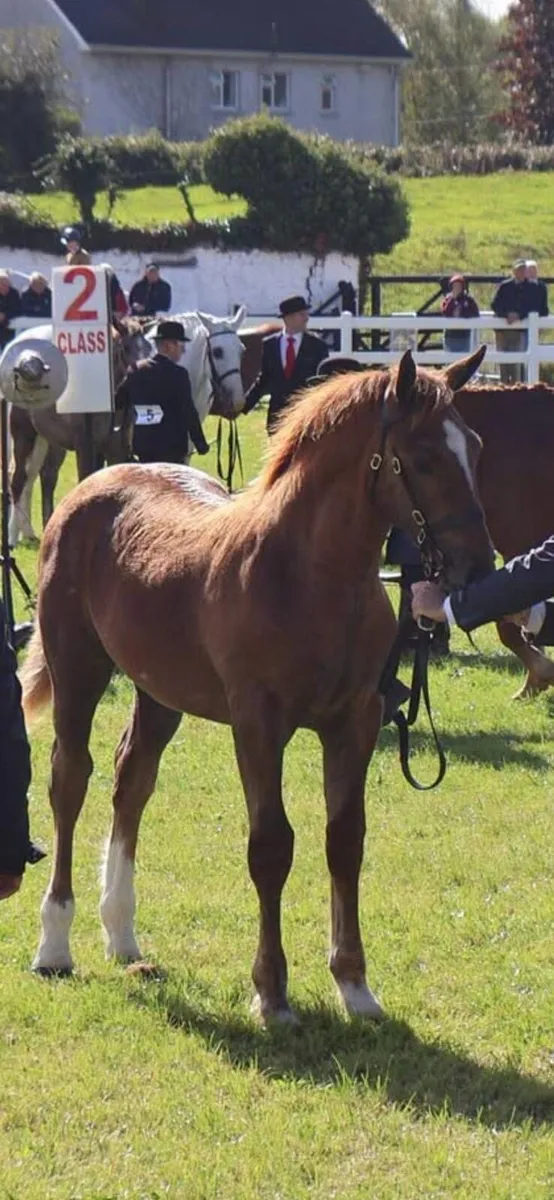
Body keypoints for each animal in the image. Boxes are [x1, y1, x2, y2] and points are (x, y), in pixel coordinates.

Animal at [8, 308, 247, 543]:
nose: (236, 401)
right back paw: (16, 536)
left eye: (242, 350)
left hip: (50, 440)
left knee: (43, 477)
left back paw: (32, 530)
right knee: (20, 479)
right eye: (218, 351)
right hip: (25, 434)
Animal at [21, 345, 494, 1023]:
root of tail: (91, 486)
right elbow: (271, 845)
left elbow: (344, 840)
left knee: (131, 780)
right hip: (78, 668)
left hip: (160, 692)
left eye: (475, 448)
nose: (477, 569)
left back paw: (122, 935)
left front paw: (355, 986)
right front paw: (271, 993)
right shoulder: (259, 724)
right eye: (425, 455)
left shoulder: (355, 722)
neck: (310, 578)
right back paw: (55, 945)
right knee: (70, 779)